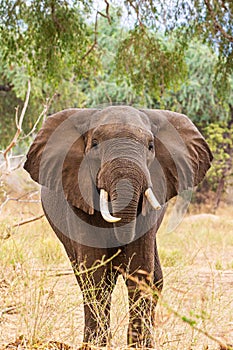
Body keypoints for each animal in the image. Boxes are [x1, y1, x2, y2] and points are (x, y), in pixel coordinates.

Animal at [24, 105, 213, 348]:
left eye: (151, 146)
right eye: (94, 144)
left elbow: (140, 267)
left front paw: (139, 346)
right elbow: (95, 271)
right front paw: (96, 345)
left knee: (154, 278)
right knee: (88, 278)